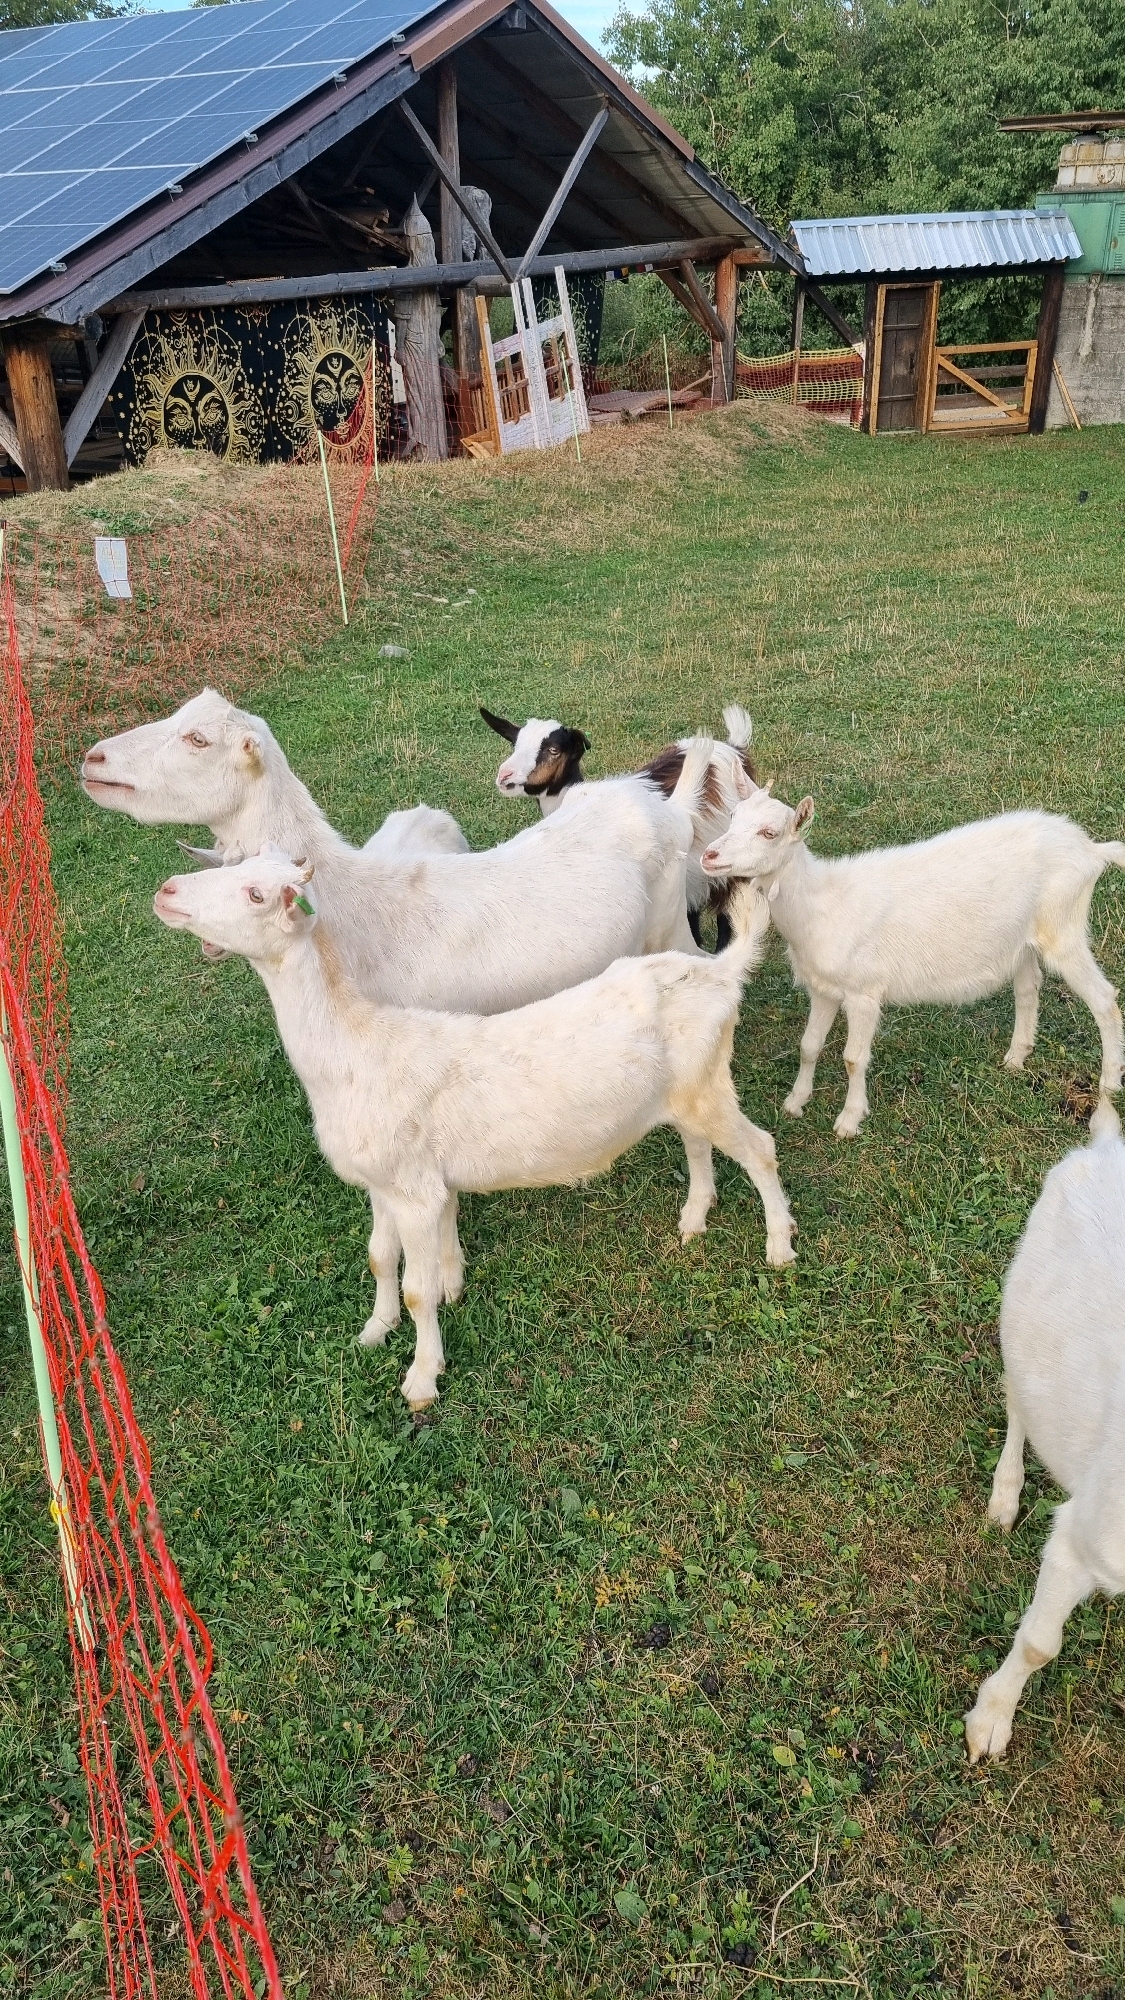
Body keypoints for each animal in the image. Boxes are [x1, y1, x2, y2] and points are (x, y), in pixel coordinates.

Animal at [153, 850, 797, 1407]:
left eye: (256, 894)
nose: (166, 891)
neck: (355, 1051)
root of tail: (720, 973)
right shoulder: (385, 1182)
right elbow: (379, 1258)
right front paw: (374, 1329)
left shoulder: (414, 1192)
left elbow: (417, 1288)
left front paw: (421, 1378)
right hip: (686, 1089)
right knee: (698, 1140)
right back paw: (694, 1218)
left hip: (707, 1085)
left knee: (761, 1148)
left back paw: (779, 1246)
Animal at [701, 772, 1125, 1136]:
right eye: (734, 815)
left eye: (769, 833)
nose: (709, 855)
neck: (821, 905)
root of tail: (1092, 849)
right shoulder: (822, 987)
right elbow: (809, 1046)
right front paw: (795, 1102)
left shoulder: (864, 991)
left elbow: (853, 1058)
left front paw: (849, 1120)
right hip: (1022, 940)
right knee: (1028, 987)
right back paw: (1016, 1058)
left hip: (1064, 927)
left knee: (1104, 999)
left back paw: (1108, 1085)